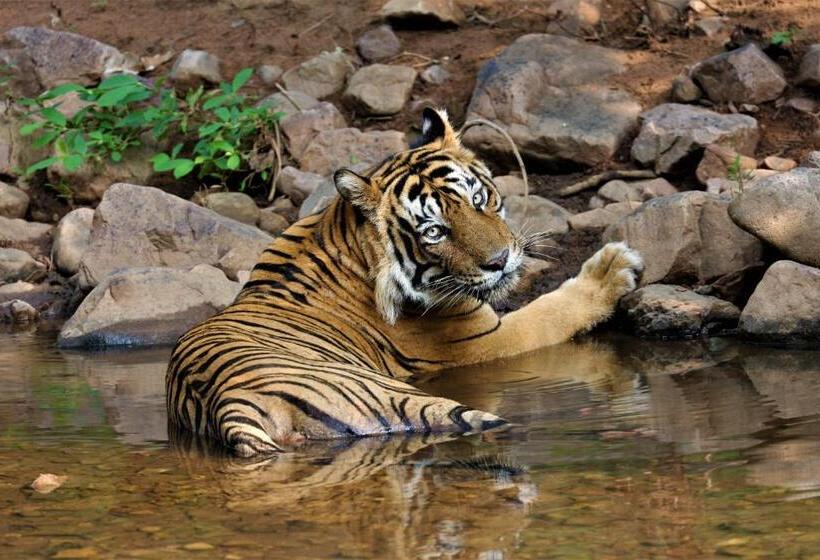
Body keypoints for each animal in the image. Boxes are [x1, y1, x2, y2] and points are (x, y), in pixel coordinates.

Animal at [166, 107, 644, 457]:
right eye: (434, 231)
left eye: (478, 198)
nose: (500, 262)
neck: (340, 234)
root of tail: (229, 408)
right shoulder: (485, 338)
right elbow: (552, 310)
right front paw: (613, 268)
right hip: (417, 404)